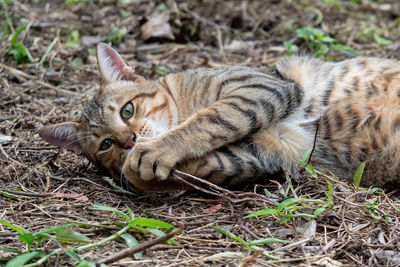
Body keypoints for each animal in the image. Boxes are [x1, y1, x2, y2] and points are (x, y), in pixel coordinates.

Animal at [39, 43, 400, 192]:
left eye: (127, 110)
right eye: (104, 145)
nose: (128, 141)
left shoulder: (261, 87)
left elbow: (212, 119)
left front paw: (153, 150)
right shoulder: (264, 154)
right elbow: (208, 163)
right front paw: (134, 168)